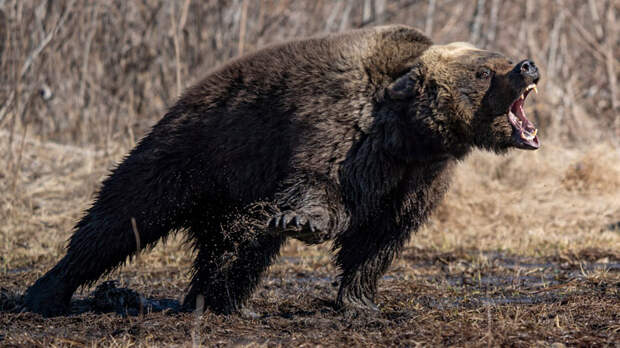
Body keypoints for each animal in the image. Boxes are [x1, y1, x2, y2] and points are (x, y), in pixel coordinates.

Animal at [21, 25, 540, 316]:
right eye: (484, 72)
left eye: (498, 59)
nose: (527, 65)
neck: (409, 134)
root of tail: (183, 98)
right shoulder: (340, 130)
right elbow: (319, 187)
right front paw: (303, 222)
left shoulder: (419, 176)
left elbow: (381, 236)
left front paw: (362, 301)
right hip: (191, 153)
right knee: (121, 217)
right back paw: (47, 293)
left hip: (234, 187)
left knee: (237, 243)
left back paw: (220, 301)